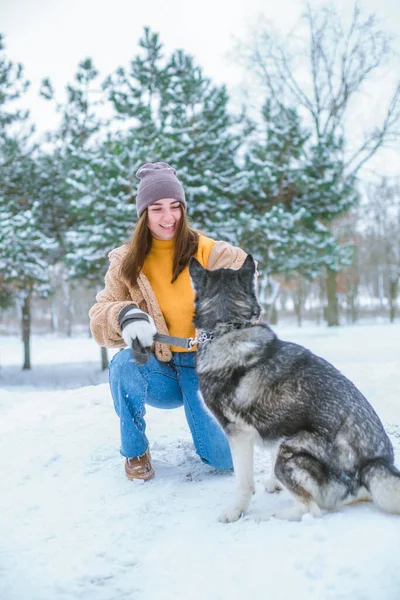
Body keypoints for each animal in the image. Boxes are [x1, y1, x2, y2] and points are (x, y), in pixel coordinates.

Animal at [189, 255, 400, 524]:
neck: (230, 328)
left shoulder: (238, 435)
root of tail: (375, 463)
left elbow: (243, 483)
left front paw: (237, 510)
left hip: (289, 451)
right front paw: (271, 484)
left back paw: (269, 516)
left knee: (311, 509)